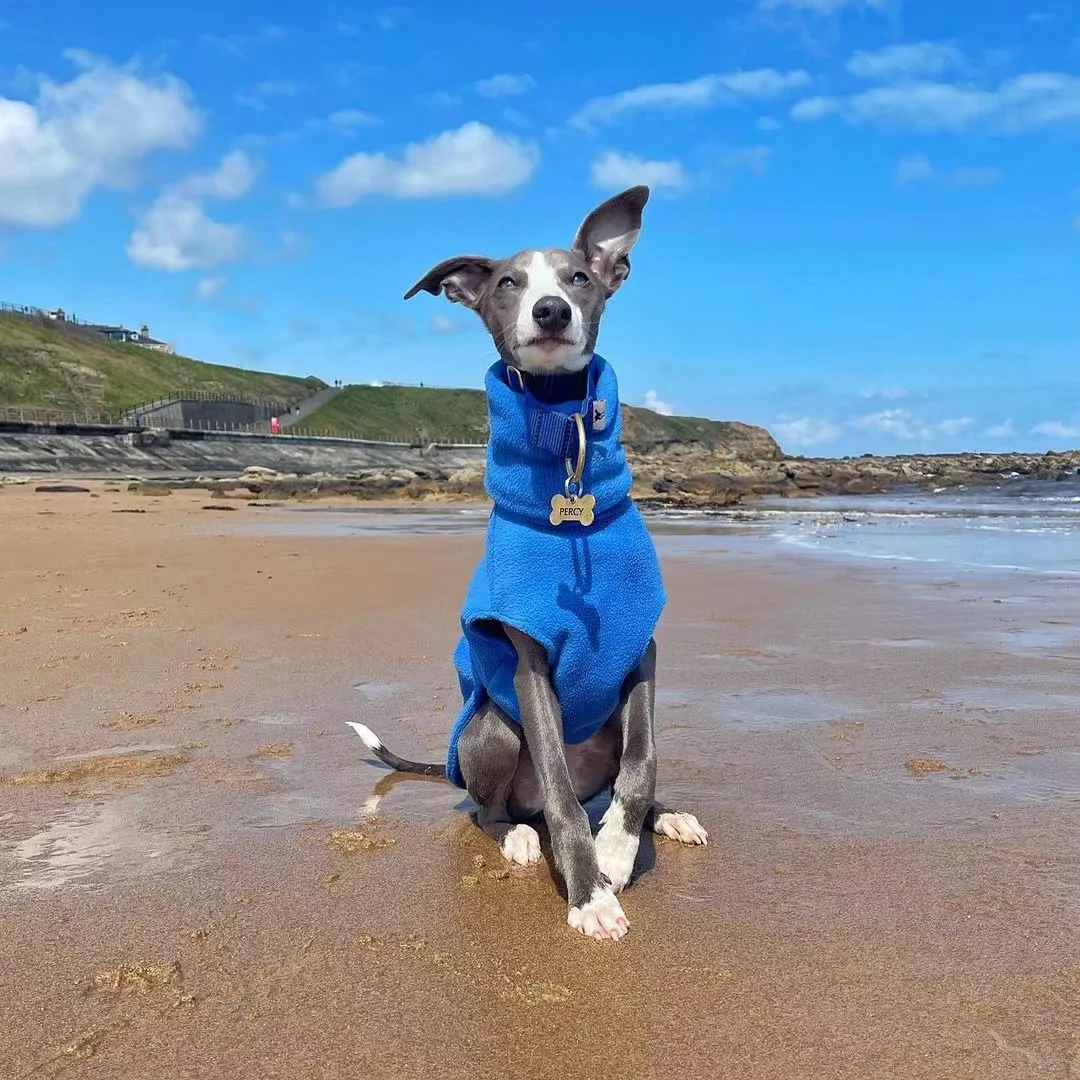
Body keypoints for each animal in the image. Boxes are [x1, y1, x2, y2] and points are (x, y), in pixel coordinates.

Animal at [345, 185, 708, 937]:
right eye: (508, 283)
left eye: (580, 277)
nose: (551, 311)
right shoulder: (530, 658)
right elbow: (567, 805)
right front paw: (589, 892)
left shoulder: (641, 648)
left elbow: (643, 765)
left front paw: (619, 850)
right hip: (491, 729)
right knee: (500, 807)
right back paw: (516, 834)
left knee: (604, 784)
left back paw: (667, 819)